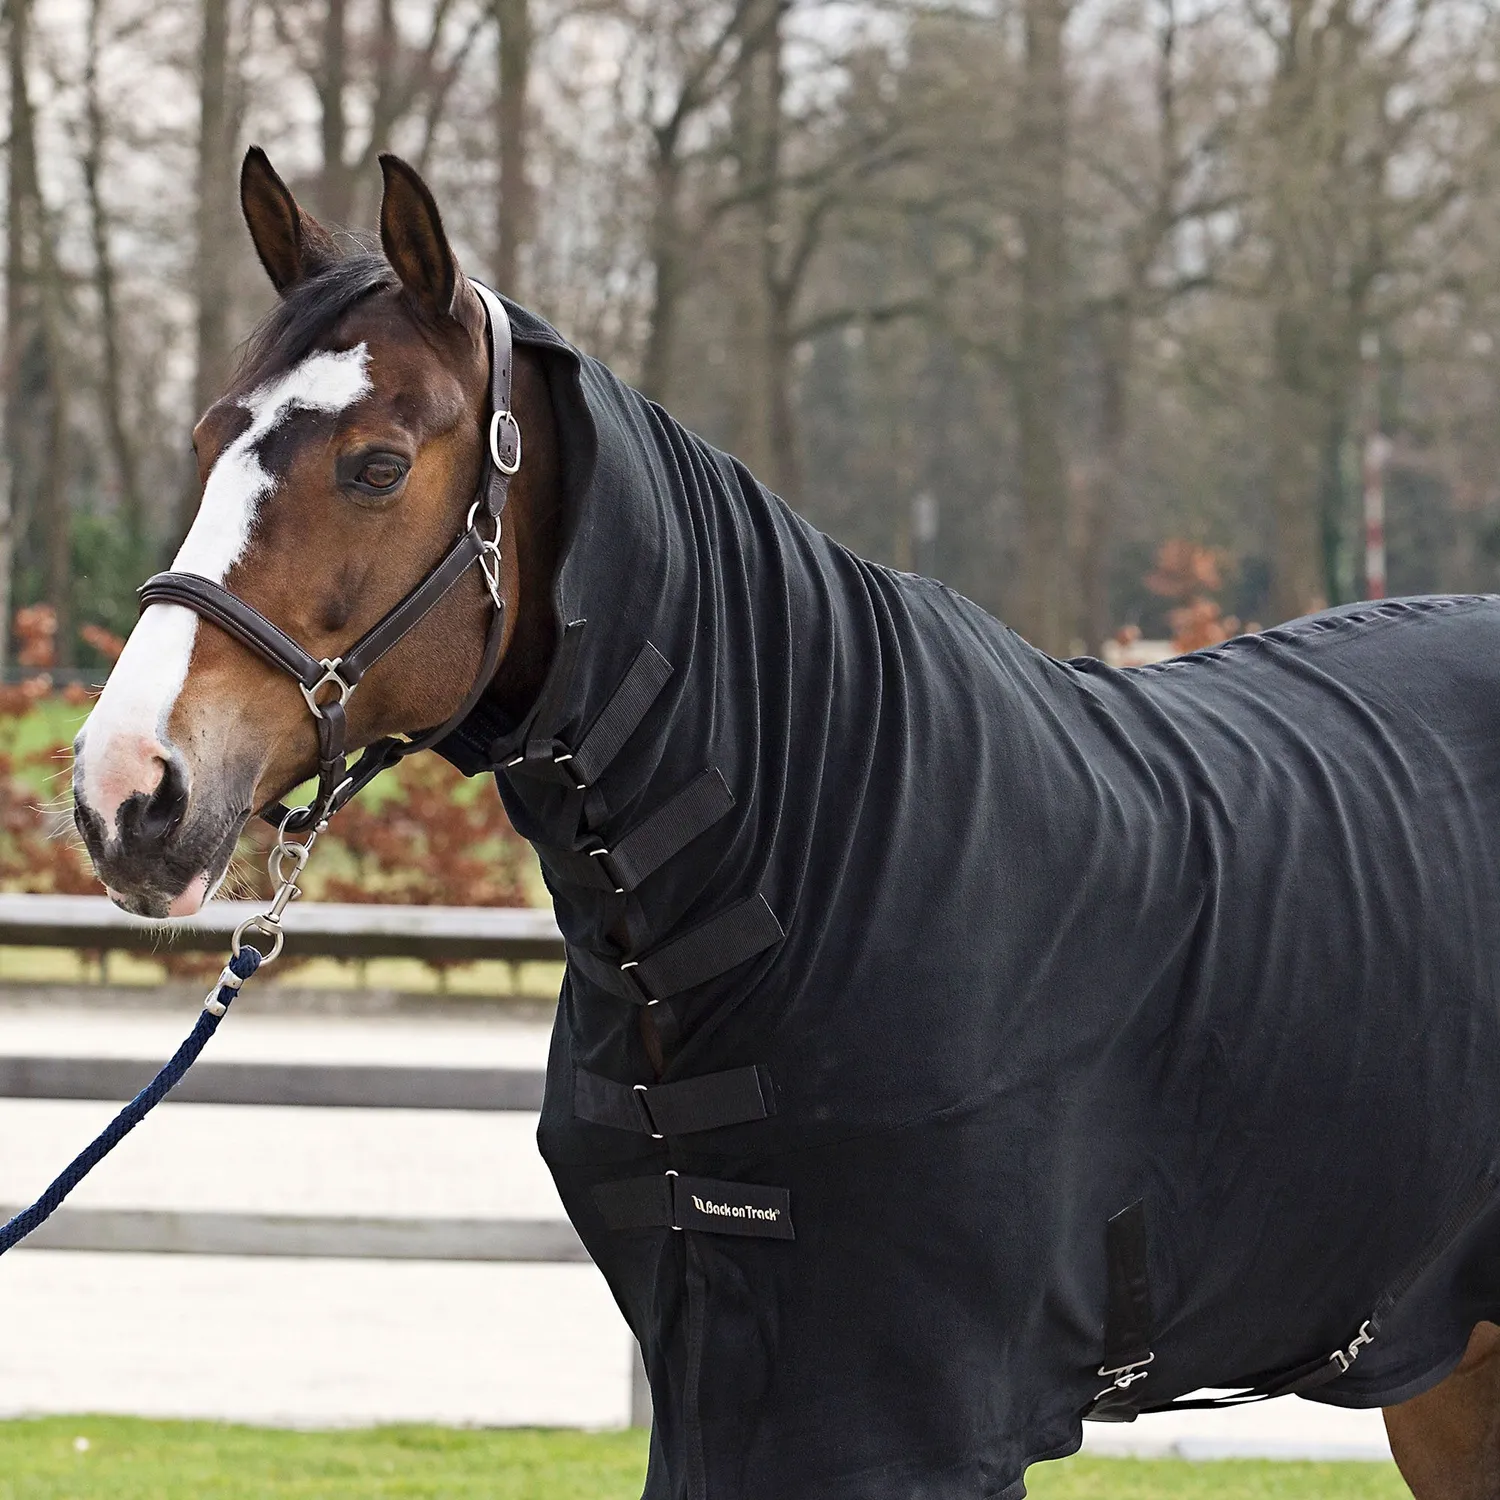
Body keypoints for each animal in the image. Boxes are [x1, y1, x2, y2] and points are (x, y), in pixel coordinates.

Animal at [71, 147, 1500, 1500]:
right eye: (206, 442)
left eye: (375, 465)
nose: (126, 791)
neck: (806, 845)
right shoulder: (722, 1387)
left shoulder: (915, 1427)